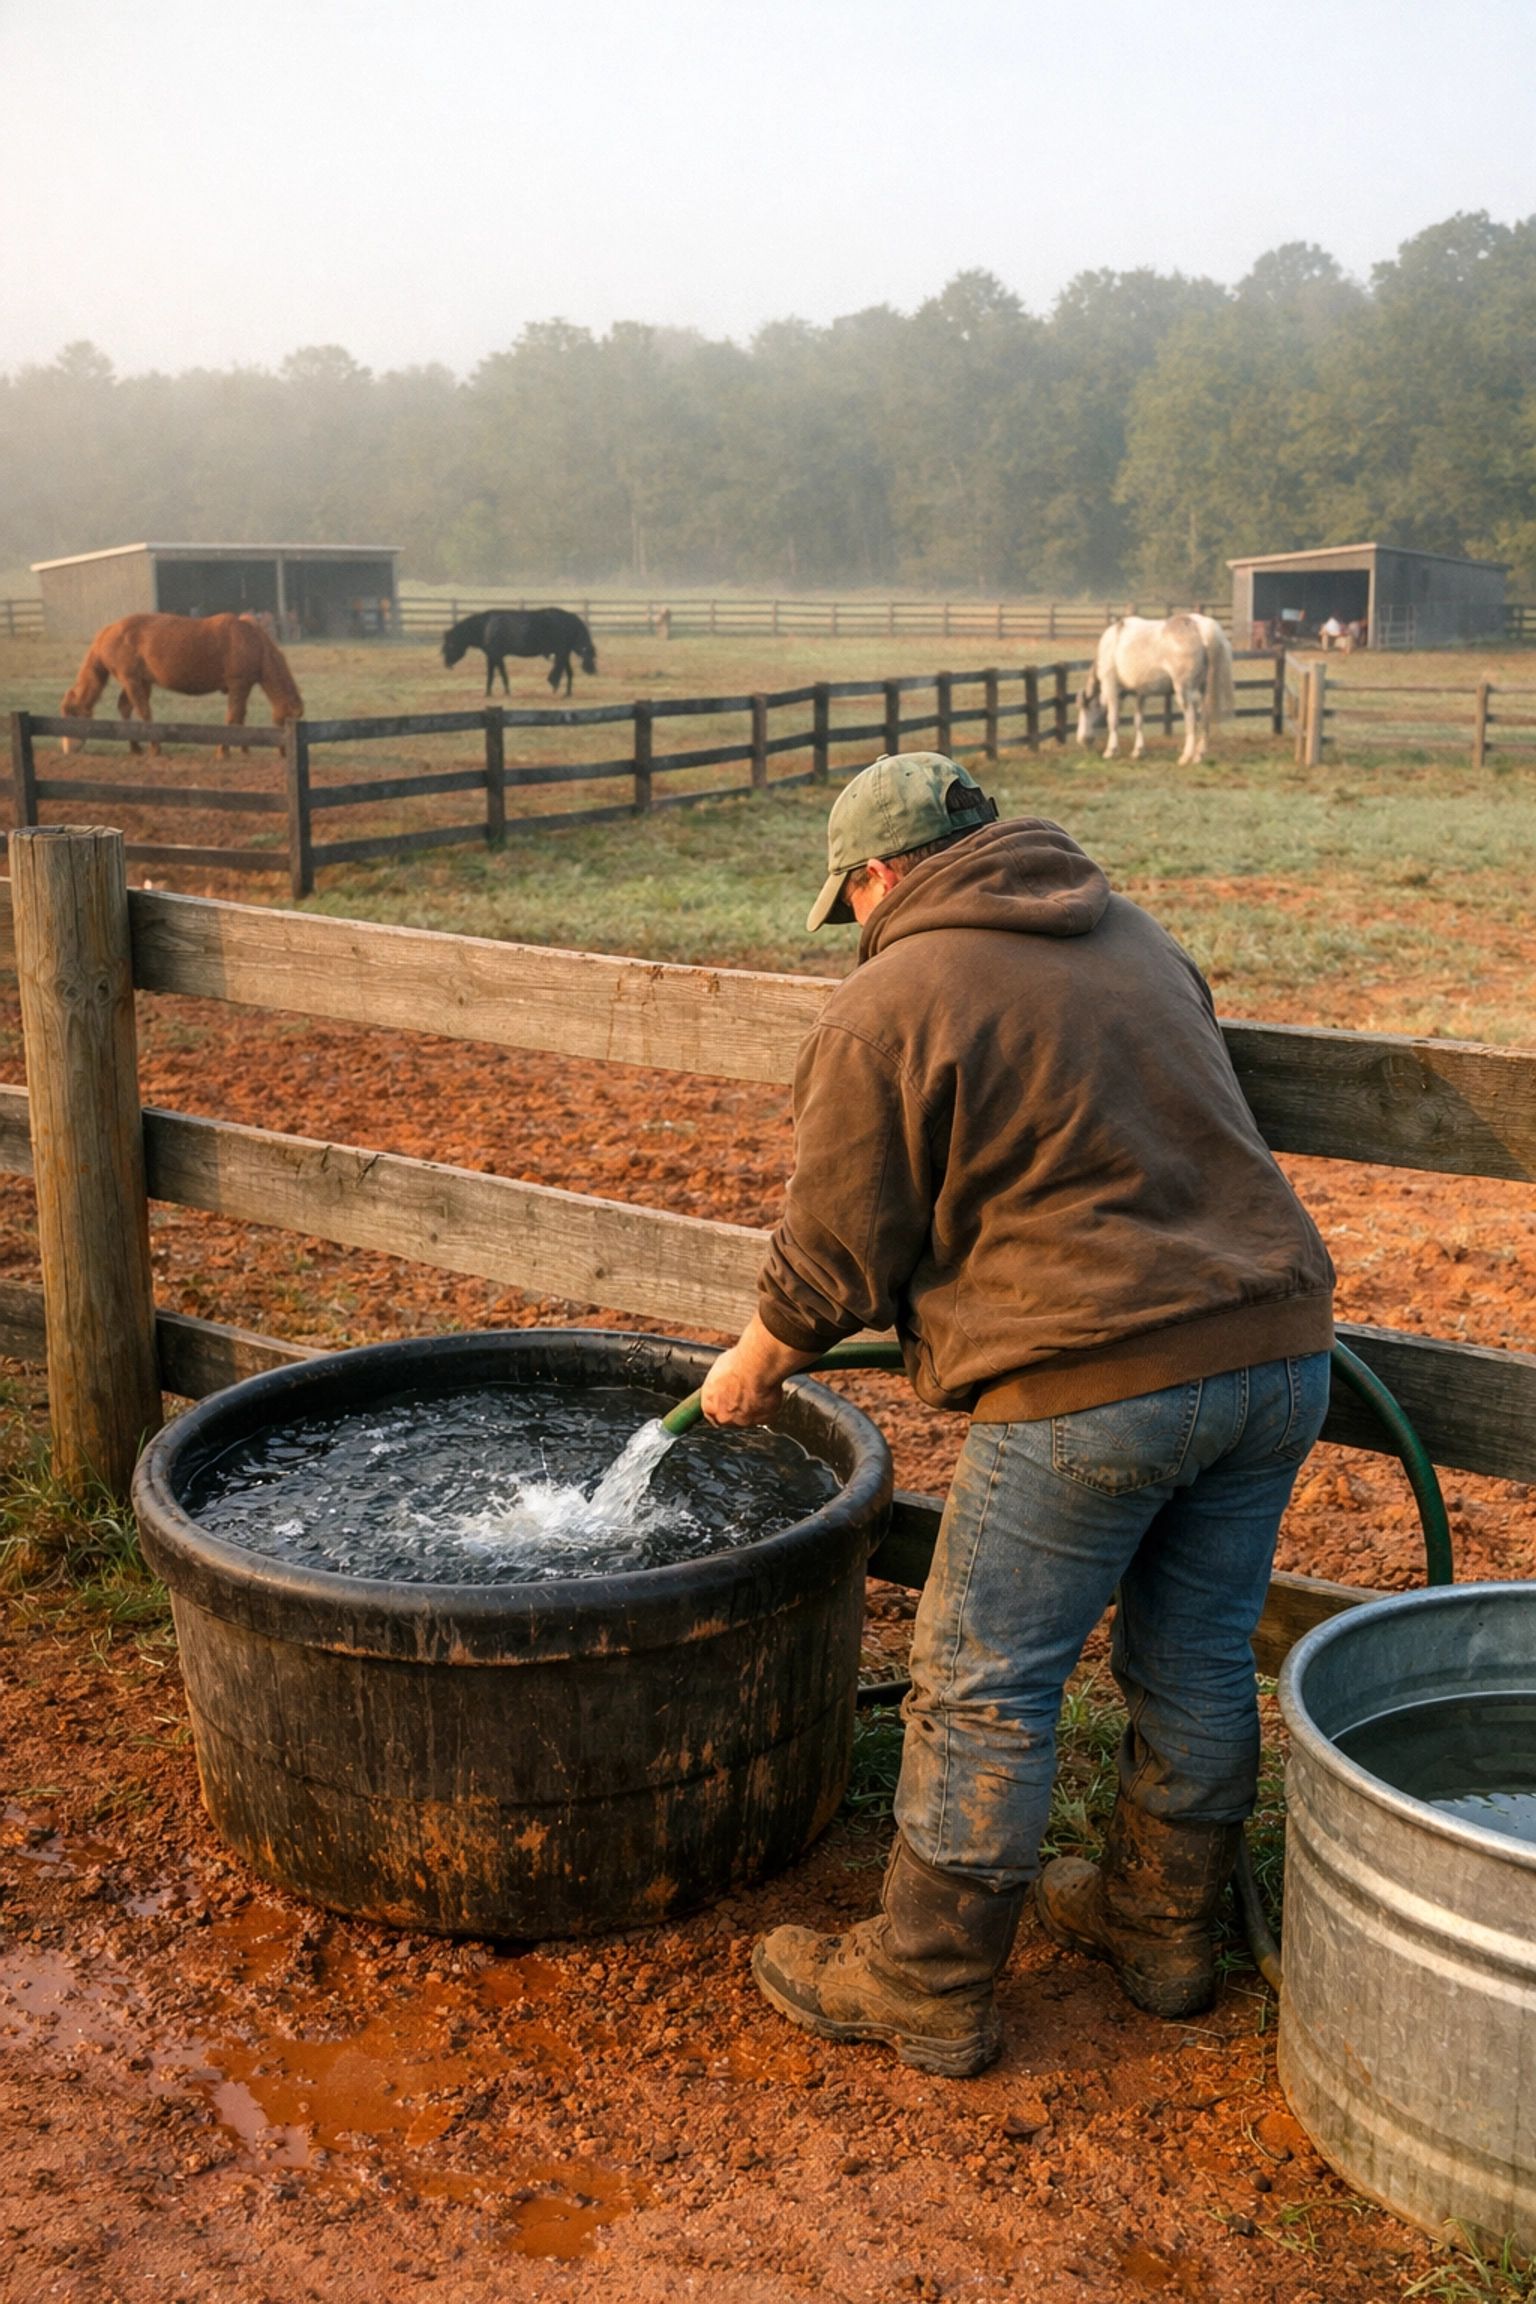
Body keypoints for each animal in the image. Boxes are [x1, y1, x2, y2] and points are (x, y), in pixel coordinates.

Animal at [60, 612, 304, 759]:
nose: (285, 752)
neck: (253, 641)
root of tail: (106, 633)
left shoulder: (242, 687)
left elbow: (240, 717)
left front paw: (244, 749)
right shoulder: (238, 685)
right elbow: (233, 716)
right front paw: (224, 750)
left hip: (139, 681)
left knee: (127, 708)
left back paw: (136, 748)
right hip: (132, 680)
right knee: (143, 711)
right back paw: (155, 747)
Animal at [441, 608, 597, 697]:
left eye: (449, 645)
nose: (446, 664)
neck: (486, 627)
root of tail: (572, 617)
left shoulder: (494, 656)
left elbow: (494, 674)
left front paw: (491, 693)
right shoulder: (497, 656)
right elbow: (500, 673)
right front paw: (502, 691)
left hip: (562, 652)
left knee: (562, 668)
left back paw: (558, 686)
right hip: (564, 653)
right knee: (568, 671)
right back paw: (566, 692)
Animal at [1076, 613, 1234, 766]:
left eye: (1086, 709)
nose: (1081, 740)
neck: (1112, 642)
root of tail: (1199, 626)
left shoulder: (1111, 688)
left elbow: (1112, 720)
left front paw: (1110, 751)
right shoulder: (1140, 694)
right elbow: (1138, 720)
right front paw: (1138, 751)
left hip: (1184, 691)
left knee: (1191, 719)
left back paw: (1186, 756)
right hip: (1201, 691)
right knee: (1205, 716)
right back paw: (1199, 755)